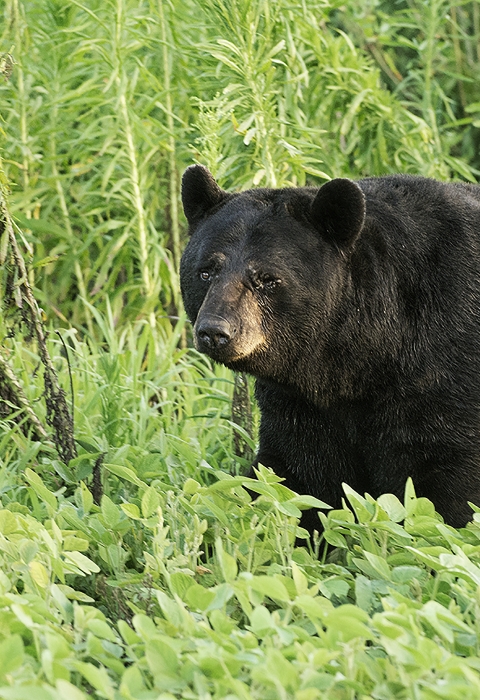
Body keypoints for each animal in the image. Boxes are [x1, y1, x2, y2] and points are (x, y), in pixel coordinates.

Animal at [180, 164, 480, 533]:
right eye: (206, 272)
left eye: (267, 279)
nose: (215, 331)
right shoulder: (302, 405)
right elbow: (296, 478)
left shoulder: (443, 374)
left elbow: (447, 492)